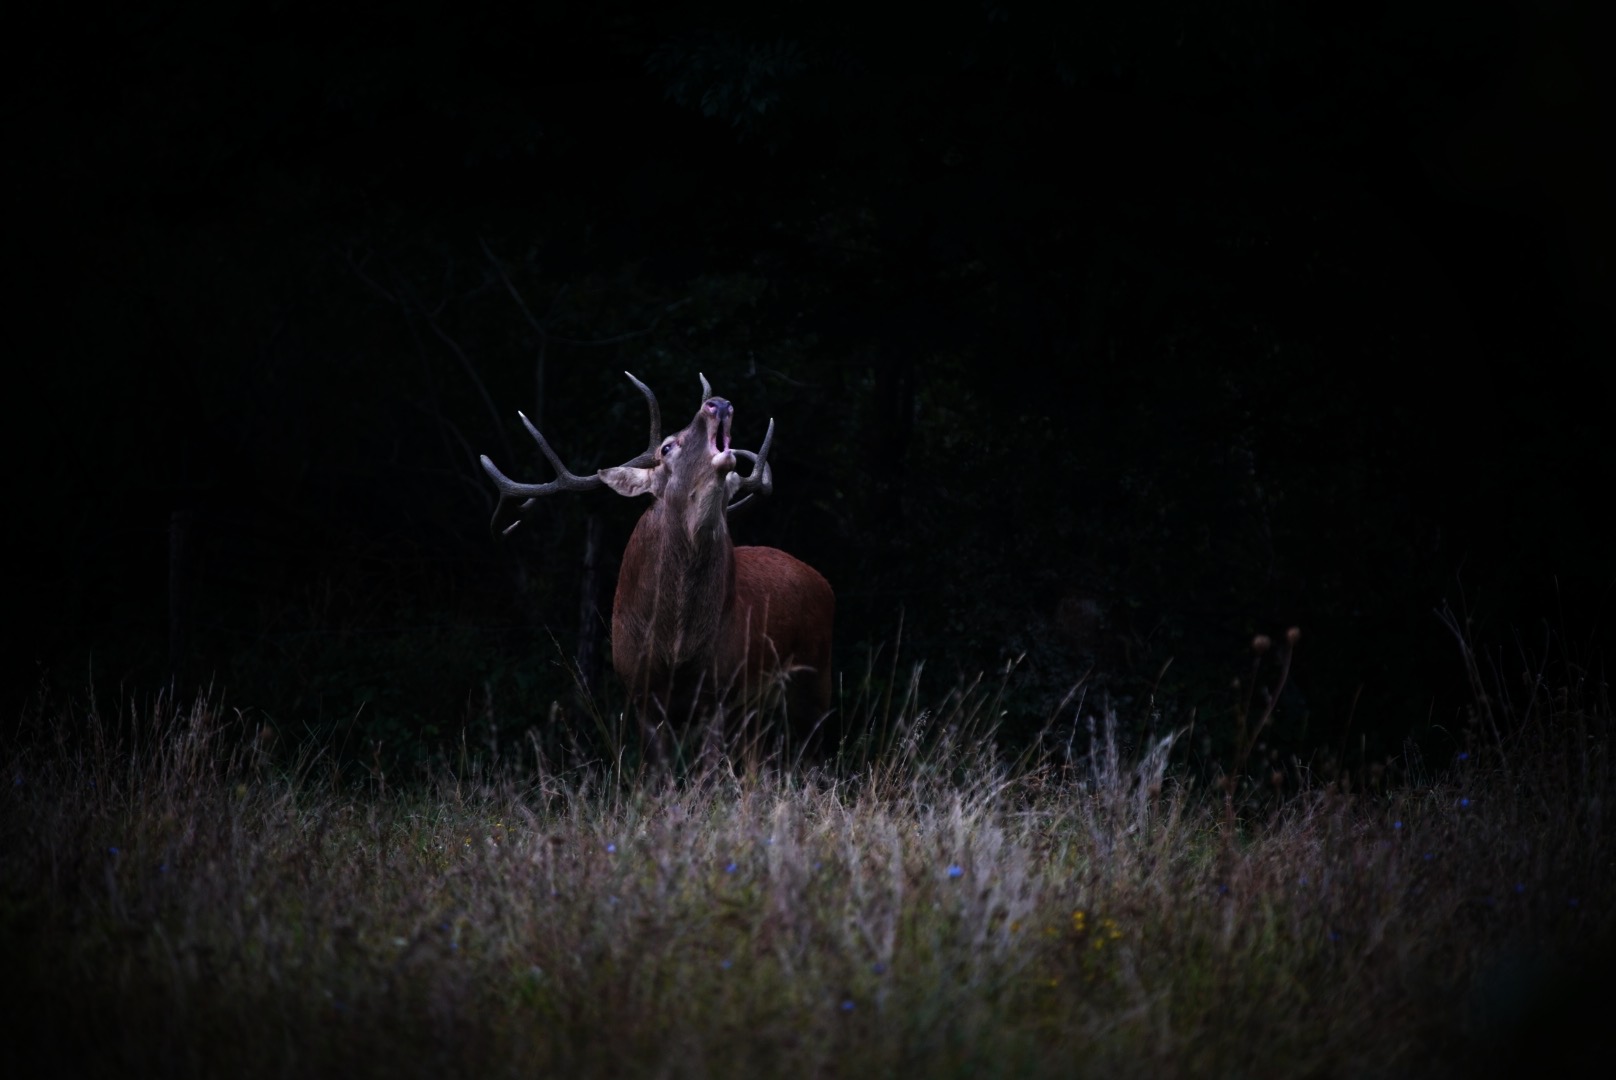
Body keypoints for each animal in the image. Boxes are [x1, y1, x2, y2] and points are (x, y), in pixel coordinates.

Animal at [479, 373, 835, 753]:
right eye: (666, 448)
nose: (718, 403)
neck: (676, 648)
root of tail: (822, 582)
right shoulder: (640, 693)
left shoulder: (721, 691)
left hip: (815, 674)